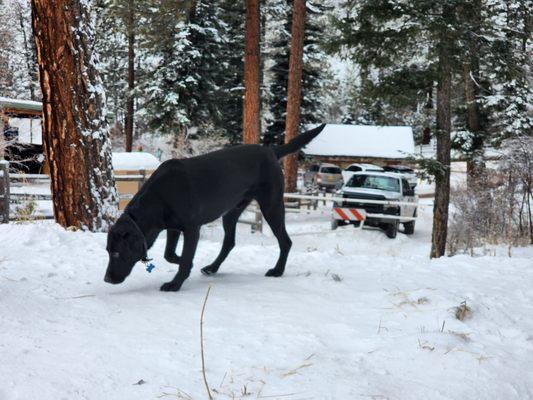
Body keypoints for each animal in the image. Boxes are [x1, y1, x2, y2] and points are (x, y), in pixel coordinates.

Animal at [102, 123, 322, 292]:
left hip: (271, 206)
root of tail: (271, 151)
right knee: (229, 242)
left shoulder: (192, 229)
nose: (107, 279)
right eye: (107, 251)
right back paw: (212, 267)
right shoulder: (173, 227)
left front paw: (175, 283)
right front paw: (186, 263)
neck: (158, 197)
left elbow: (183, 259)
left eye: (116, 253)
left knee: (285, 241)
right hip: (231, 212)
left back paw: (277, 271)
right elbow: (170, 255)